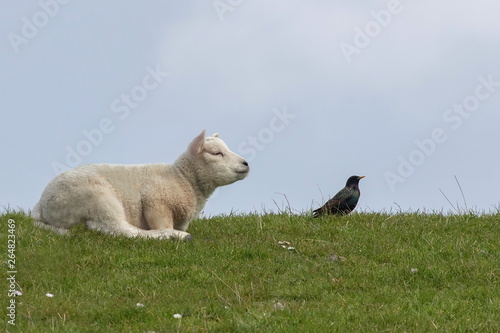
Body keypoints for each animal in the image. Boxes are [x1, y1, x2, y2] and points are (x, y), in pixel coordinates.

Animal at [31, 130, 250, 239]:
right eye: (216, 153)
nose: (246, 164)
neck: (182, 178)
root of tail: (41, 208)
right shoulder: (156, 202)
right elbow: (161, 223)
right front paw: (171, 233)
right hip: (98, 198)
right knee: (118, 230)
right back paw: (171, 236)